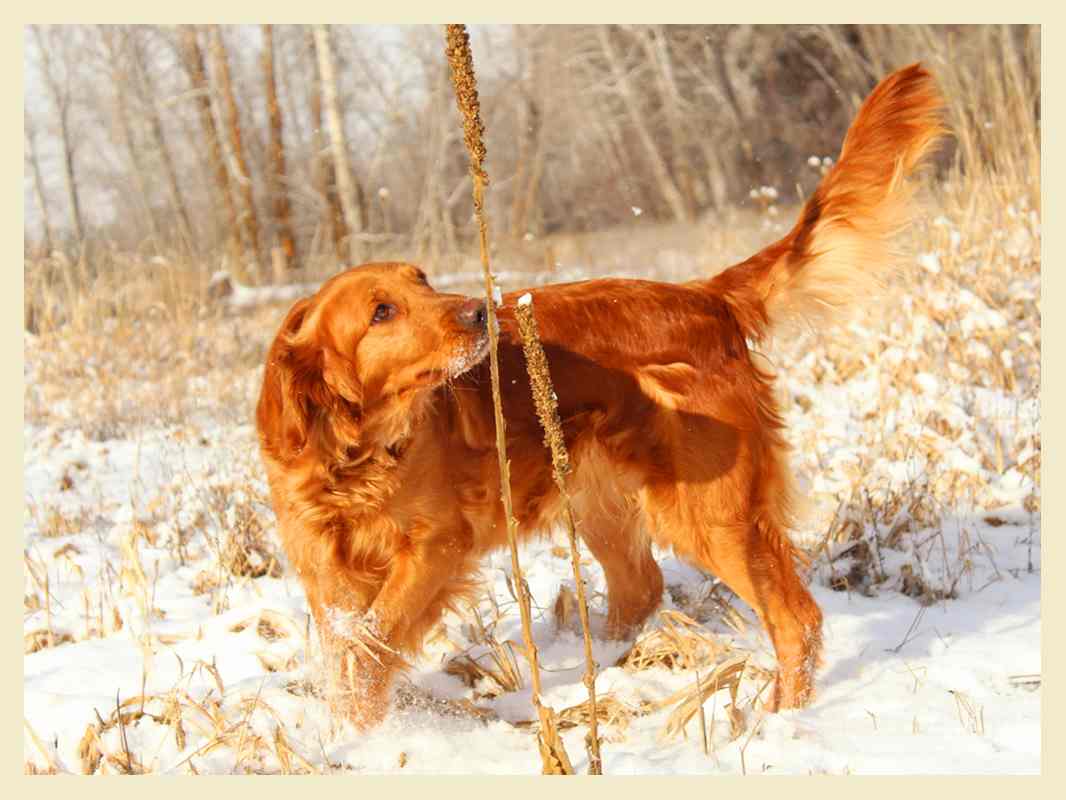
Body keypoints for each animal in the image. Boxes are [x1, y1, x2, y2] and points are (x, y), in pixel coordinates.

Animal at [257, 62, 942, 725]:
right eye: (382, 312)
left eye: (422, 280)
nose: (479, 312)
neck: (353, 457)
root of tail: (706, 295)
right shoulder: (327, 575)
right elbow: (351, 646)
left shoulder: (435, 546)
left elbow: (372, 645)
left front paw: (364, 733)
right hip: (603, 507)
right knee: (642, 588)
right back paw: (610, 674)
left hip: (711, 514)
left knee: (797, 617)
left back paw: (781, 716)